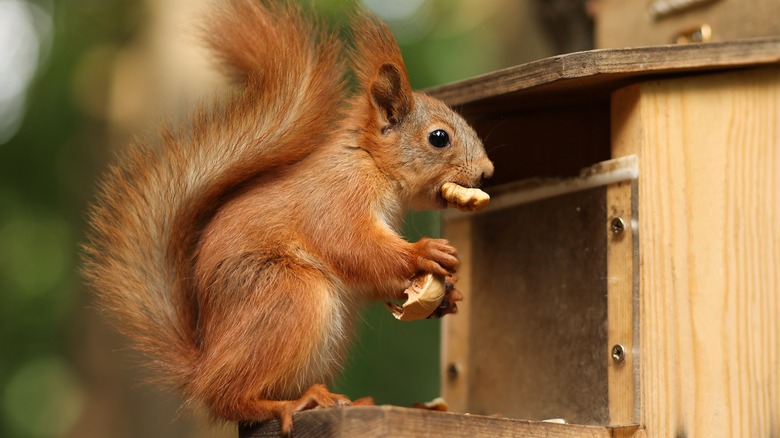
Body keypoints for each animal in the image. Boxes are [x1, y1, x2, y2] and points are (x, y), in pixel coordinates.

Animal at [84, 0, 494, 432]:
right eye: (439, 137)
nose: (487, 172)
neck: (370, 164)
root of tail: (202, 365)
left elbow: (372, 277)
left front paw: (448, 297)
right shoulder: (336, 199)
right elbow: (352, 246)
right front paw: (423, 253)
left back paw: (349, 400)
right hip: (289, 296)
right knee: (227, 396)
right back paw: (292, 403)